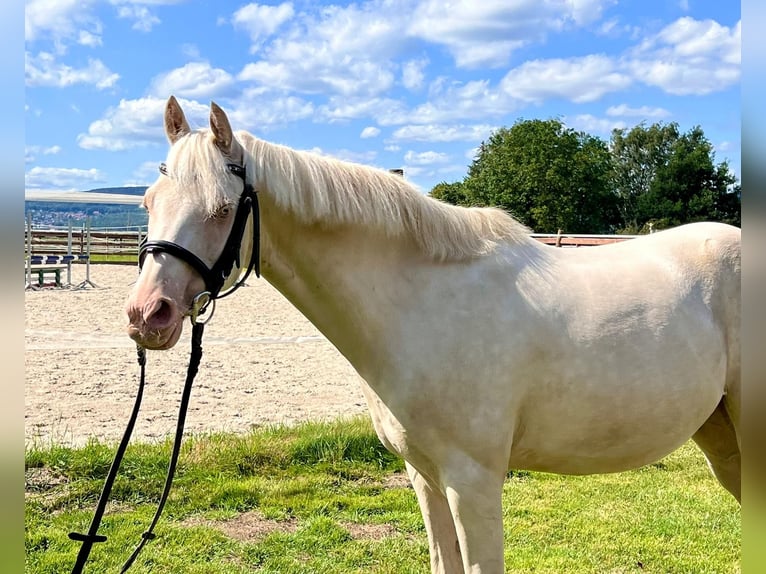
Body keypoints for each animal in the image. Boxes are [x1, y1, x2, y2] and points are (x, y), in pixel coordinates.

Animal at [127, 97, 744, 572]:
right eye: (149, 202)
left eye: (222, 209)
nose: (147, 315)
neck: (421, 305)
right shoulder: (424, 476)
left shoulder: (472, 483)